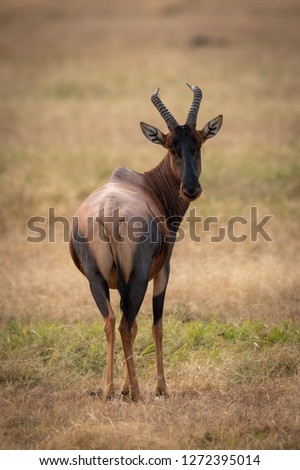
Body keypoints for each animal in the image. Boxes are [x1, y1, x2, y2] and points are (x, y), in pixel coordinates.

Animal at [69, 84, 221, 400]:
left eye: (198, 142)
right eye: (171, 145)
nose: (191, 188)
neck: (146, 183)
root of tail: (109, 212)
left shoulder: (117, 281)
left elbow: (134, 321)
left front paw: (124, 386)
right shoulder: (162, 271)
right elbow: (156, 325)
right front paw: (161, 388)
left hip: (94, 278)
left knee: (111, 321)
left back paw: (108, 390)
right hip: (138, 275)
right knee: (126, 325)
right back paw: (137, 394)